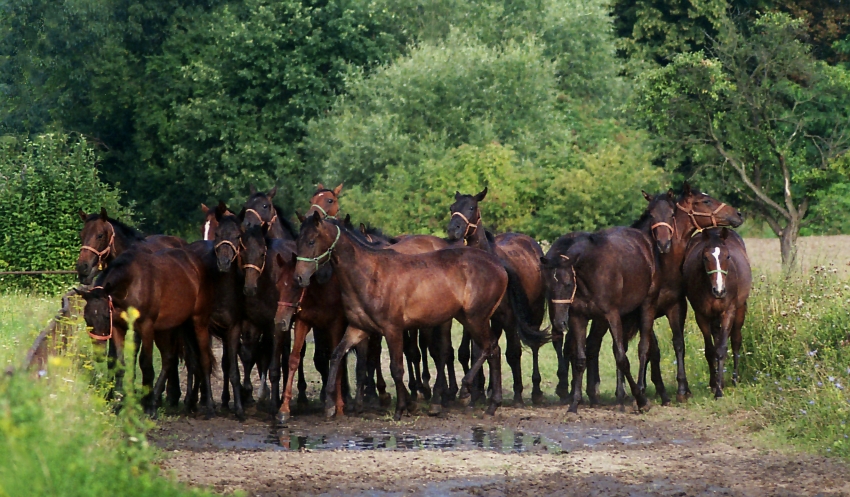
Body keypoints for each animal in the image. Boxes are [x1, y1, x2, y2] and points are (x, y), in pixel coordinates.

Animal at [75, 246, 215, 416]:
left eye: (105, 316)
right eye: (86, 318)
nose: (99, 354)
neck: (131, 284)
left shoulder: (146, 327)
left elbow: (146, 364)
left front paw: (148, 407)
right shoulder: (118, 328)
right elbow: (120, 363)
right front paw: (118, 403)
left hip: (198, 322)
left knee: (204, 360)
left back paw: (208, 405)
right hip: (170, 328)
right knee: (171, 359)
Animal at [294, 213, 504, 418]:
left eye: (311, 241)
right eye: (298, 241)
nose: (299, 277)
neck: (369, 275)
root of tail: (498, 266)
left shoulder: (392, 329)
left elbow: (397, 369)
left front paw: (401, 408)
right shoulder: (358, 328)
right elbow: (337, 355)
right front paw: (330, 405)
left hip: (475, 318)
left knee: (488, 348)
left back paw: (465, 390)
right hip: (463, 318)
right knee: (493, 351)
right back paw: (492, 405)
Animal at [444, 188, 548, 404]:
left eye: (471, 207)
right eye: (452, 207)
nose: (453, 230)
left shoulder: (508, 317)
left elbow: (513, 352)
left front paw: (517, 393)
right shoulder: (476, 318)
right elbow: (474, 351)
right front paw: (476, 392)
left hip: (534, 310)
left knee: (533, 344)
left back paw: (534, 390)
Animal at [684, 227, 748, 398]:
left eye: (727, 256)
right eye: (705, 257)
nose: (719, 290)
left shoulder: (728, 312)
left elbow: (721, 349)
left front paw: (719, 390)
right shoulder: (701, 315)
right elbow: (710, 350)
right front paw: (714, 384)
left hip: (740, 309)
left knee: (736, 340)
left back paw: (734, 379)